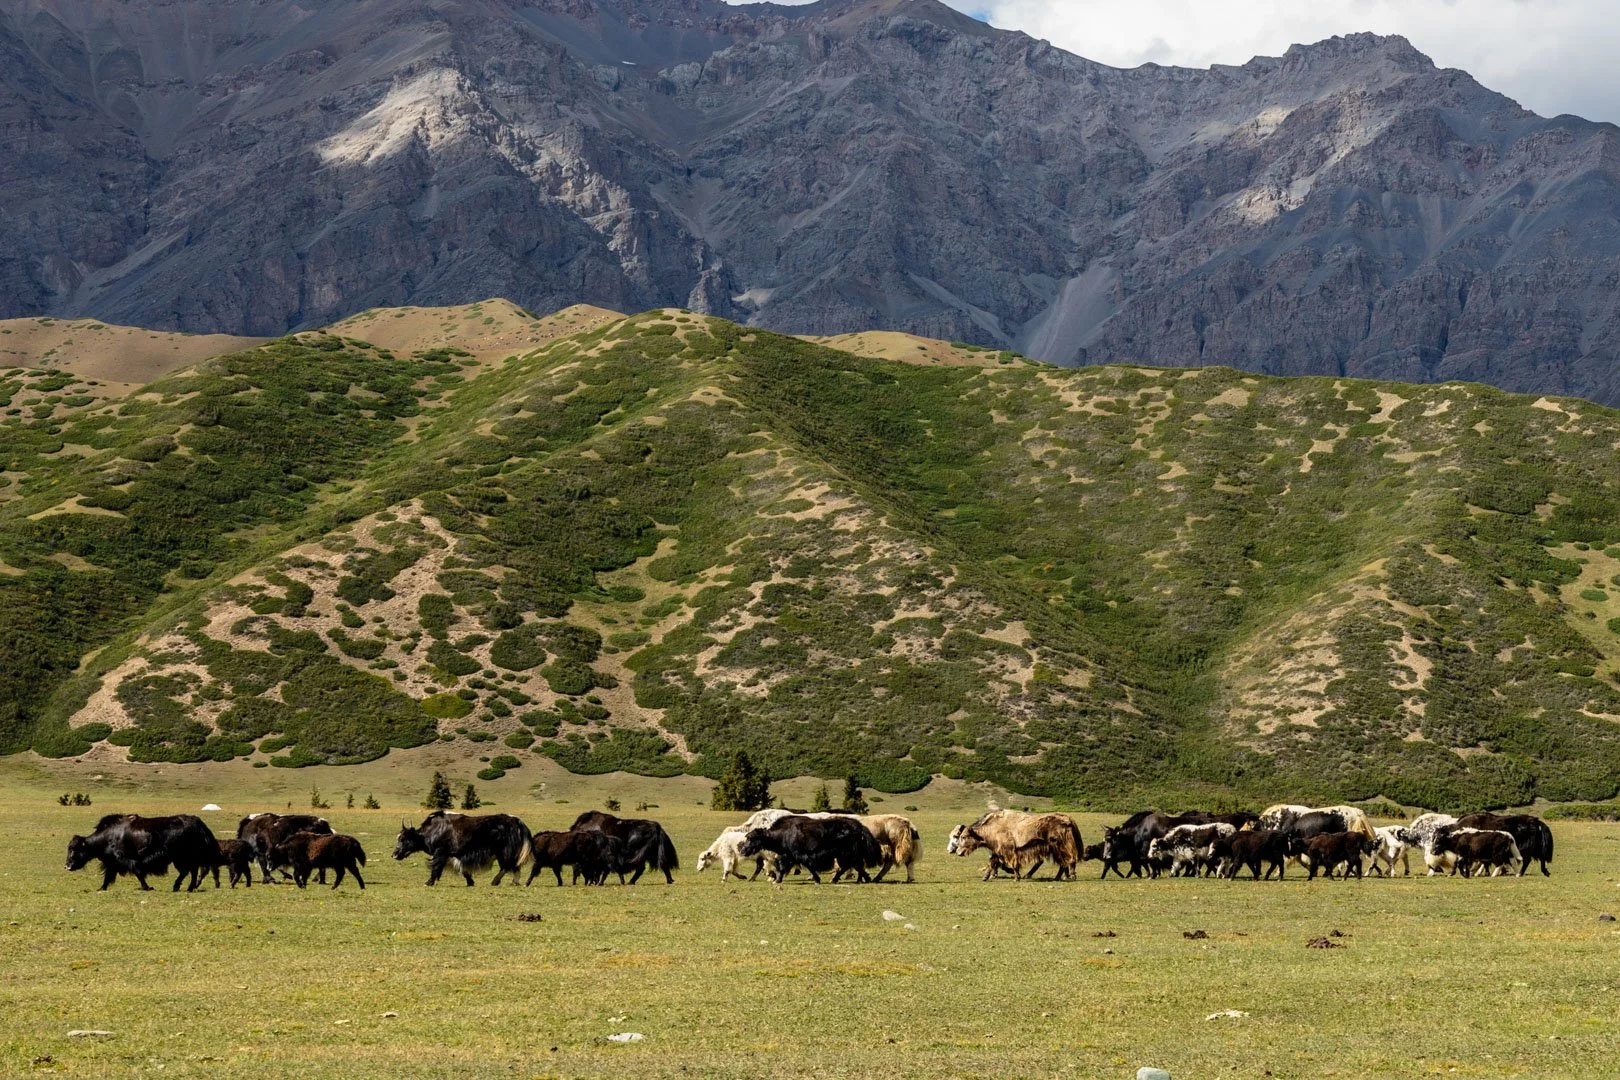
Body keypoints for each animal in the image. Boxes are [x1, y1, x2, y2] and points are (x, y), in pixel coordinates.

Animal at [65, 813, 219, 892]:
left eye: (74, 849)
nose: (67, 866)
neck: (107, 836)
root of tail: (200, 825)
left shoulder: (127, 860)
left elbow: (138, 873)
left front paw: (147, 887)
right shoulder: (113, 863)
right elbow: (108, 876)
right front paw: (101, 888)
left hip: (183, 857)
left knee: (189, 871)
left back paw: (180, 887)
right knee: (191, 871)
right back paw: (187, 887)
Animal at [393, 811, 534, 886]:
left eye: (404, 839)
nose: (394, 854)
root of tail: (517, 820)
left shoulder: (440, 851)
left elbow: (436, 866)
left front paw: (428, 882)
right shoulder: (454, 855)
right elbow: (463, 869)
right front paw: (470, 882)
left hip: (504, 851)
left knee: (508, 866)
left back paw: (497, 881)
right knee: (512, 866)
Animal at [738, 815, 883, 884]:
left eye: (750, 838)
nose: (742, 850)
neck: (781, 835)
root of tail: (859, 826)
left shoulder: (798, 854)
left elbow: (805, 866)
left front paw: (777, 880)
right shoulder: (790, 856)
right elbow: (786, 867)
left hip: (845, 853)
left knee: (850, 865)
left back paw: (837, 879)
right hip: (846, 854)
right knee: (855, 865)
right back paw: (863, 879)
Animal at [947, 810, 1082, 881]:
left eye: (961, 837)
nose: (957, 852)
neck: (991, 828)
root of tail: (1068, 819)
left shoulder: (1008, 849)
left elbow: (1011, 862)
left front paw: (1016, 877)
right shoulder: (997, 850)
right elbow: (993, 861)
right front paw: (986, 877)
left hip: (1061, 845)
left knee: (1070, 859)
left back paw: (1071, 876)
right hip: (1054, 848)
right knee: (1062, 863)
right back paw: (1058, 877)